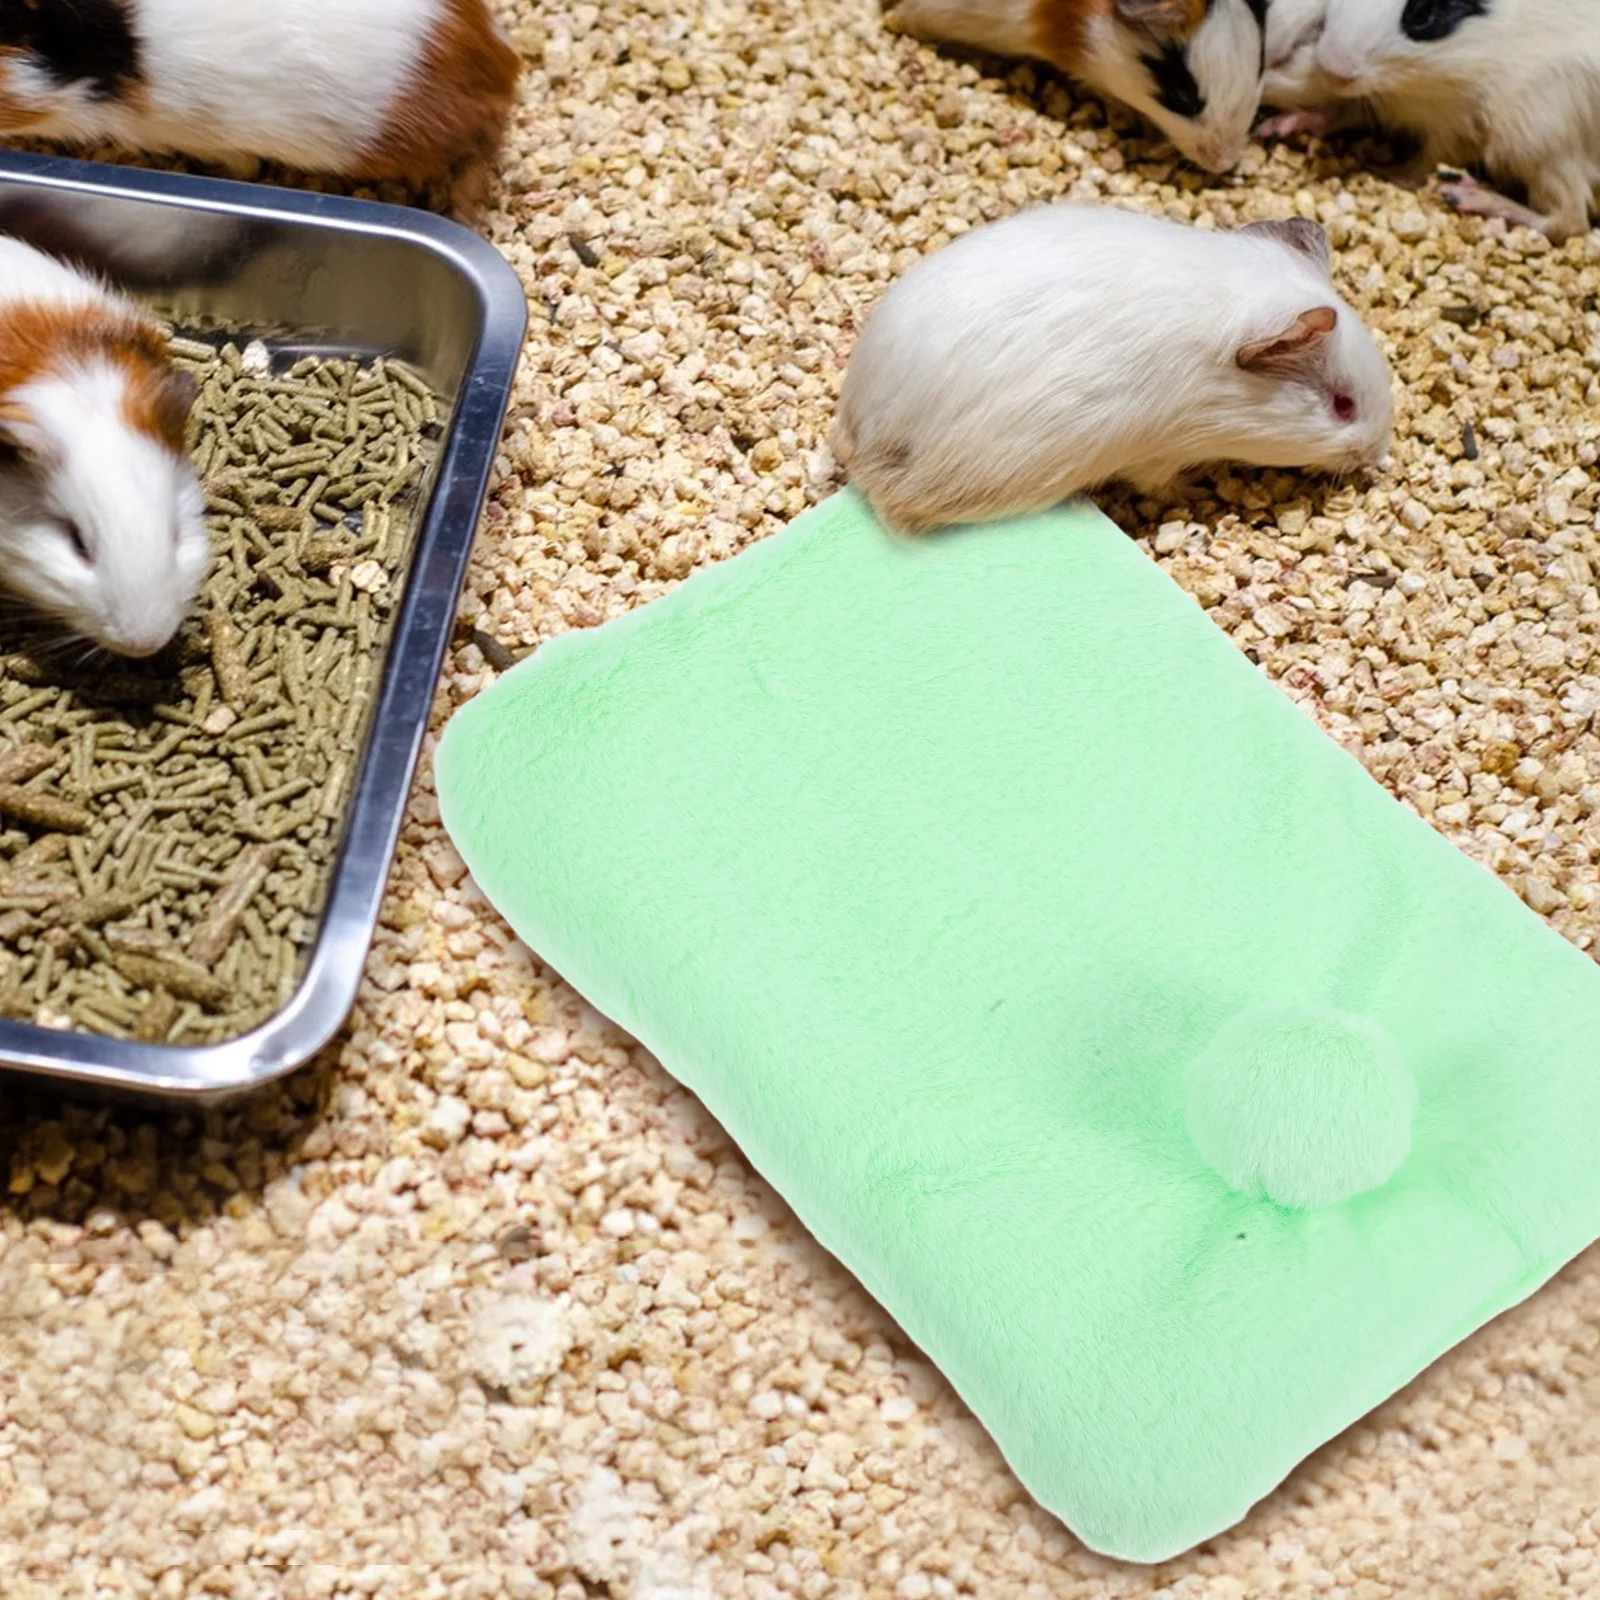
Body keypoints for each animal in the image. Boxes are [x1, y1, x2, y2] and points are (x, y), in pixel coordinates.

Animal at [832, 203, 1396, 533]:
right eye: (1343, 405)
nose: (1376, 455)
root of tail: (860, 435)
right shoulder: (1159, 456)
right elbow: (1163, 485)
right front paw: (1198, 495)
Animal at [1309, 0, 1600, 240]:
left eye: (1423, 12)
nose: (1330, 68)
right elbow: (1344, 113)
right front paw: (1300, 122)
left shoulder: (1457, 127)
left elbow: (1422, 165)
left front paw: (1387, 172)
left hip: (1538, 142)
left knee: (1570, 221)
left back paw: (1463, 194)